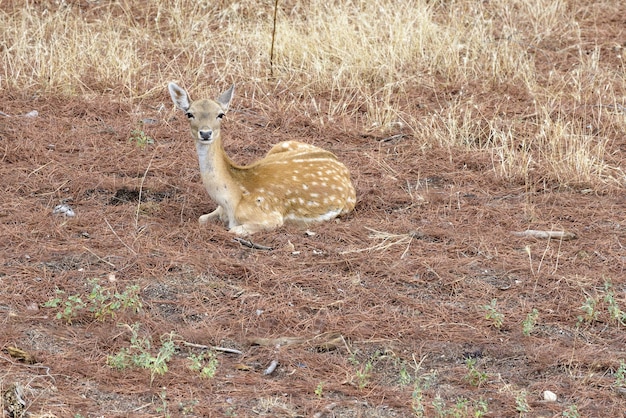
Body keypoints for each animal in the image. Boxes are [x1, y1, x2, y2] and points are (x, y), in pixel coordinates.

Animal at [167, 81, 356, 235]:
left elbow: (233, 230)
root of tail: (343, 168)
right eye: (189, 113)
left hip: (348, 203)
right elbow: (201, 219)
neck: (230, 200)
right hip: (280, 145)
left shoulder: (270, 218)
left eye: (221, 114)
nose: (205, 133)